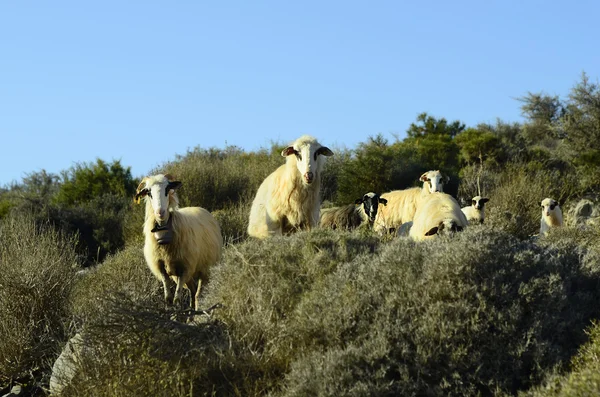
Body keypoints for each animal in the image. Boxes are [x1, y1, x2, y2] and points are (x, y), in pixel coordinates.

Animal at [134, 175, 223, 310]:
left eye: (167, 189)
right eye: (149, 193)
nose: (160, 212)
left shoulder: (185, 268)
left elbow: (177, 298)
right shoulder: (161, 267)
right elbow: (168, 297)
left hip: (205, 269)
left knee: (198, 294)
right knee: (193, 291)